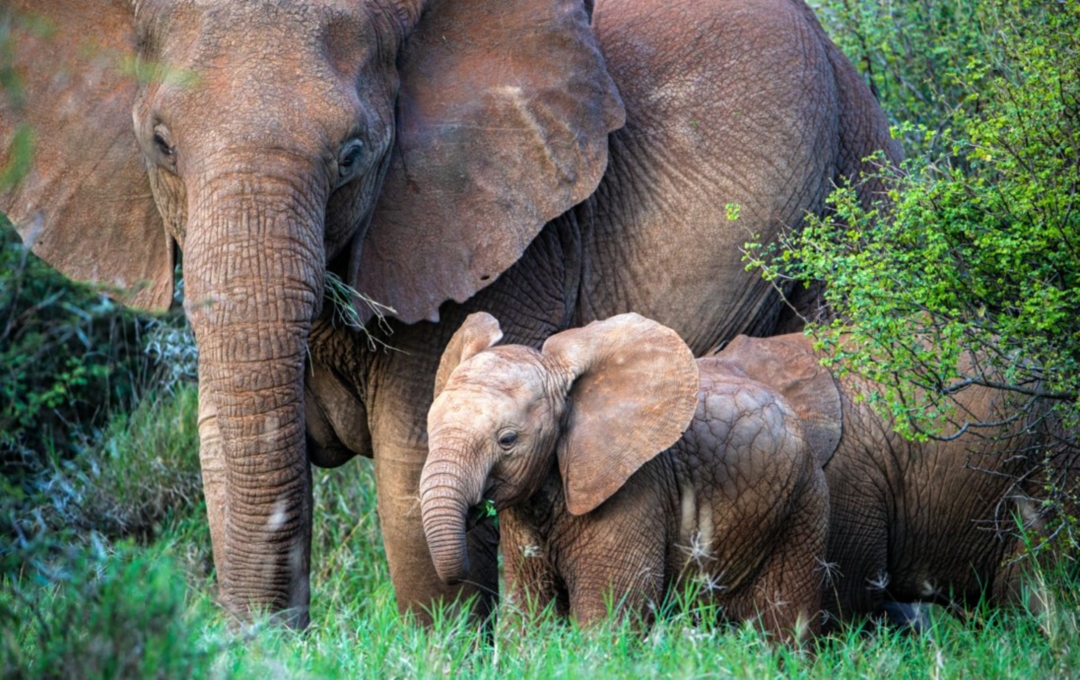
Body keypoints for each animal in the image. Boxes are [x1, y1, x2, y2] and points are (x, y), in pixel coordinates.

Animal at [419, 312, 832, 639]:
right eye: (430, 427)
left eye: (507, 440)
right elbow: (528, 614)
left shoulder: (636, 488)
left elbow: (607, 615)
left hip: (803, 504)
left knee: (784, 624)